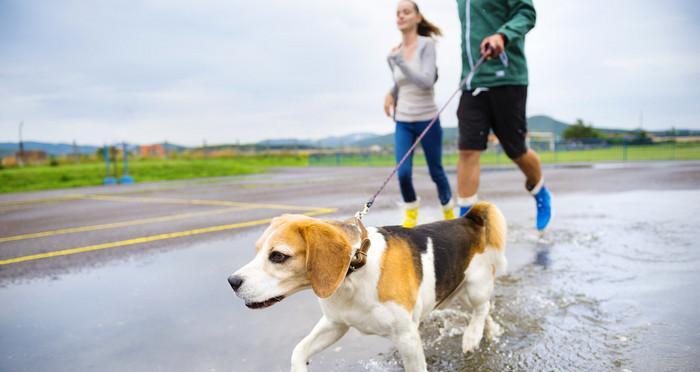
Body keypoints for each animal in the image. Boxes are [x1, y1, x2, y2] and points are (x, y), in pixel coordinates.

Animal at [227, 202, 506, 370]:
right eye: (257, 250)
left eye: (277, 256)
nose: (232, 282)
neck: (355, 270)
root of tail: (468, 219)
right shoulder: (335, 324)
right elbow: (299, 350)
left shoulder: (407, 337)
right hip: (460, 291)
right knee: (484, 311)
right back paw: (489, 331)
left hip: (475, 287)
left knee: (482, 308)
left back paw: (472, 336)